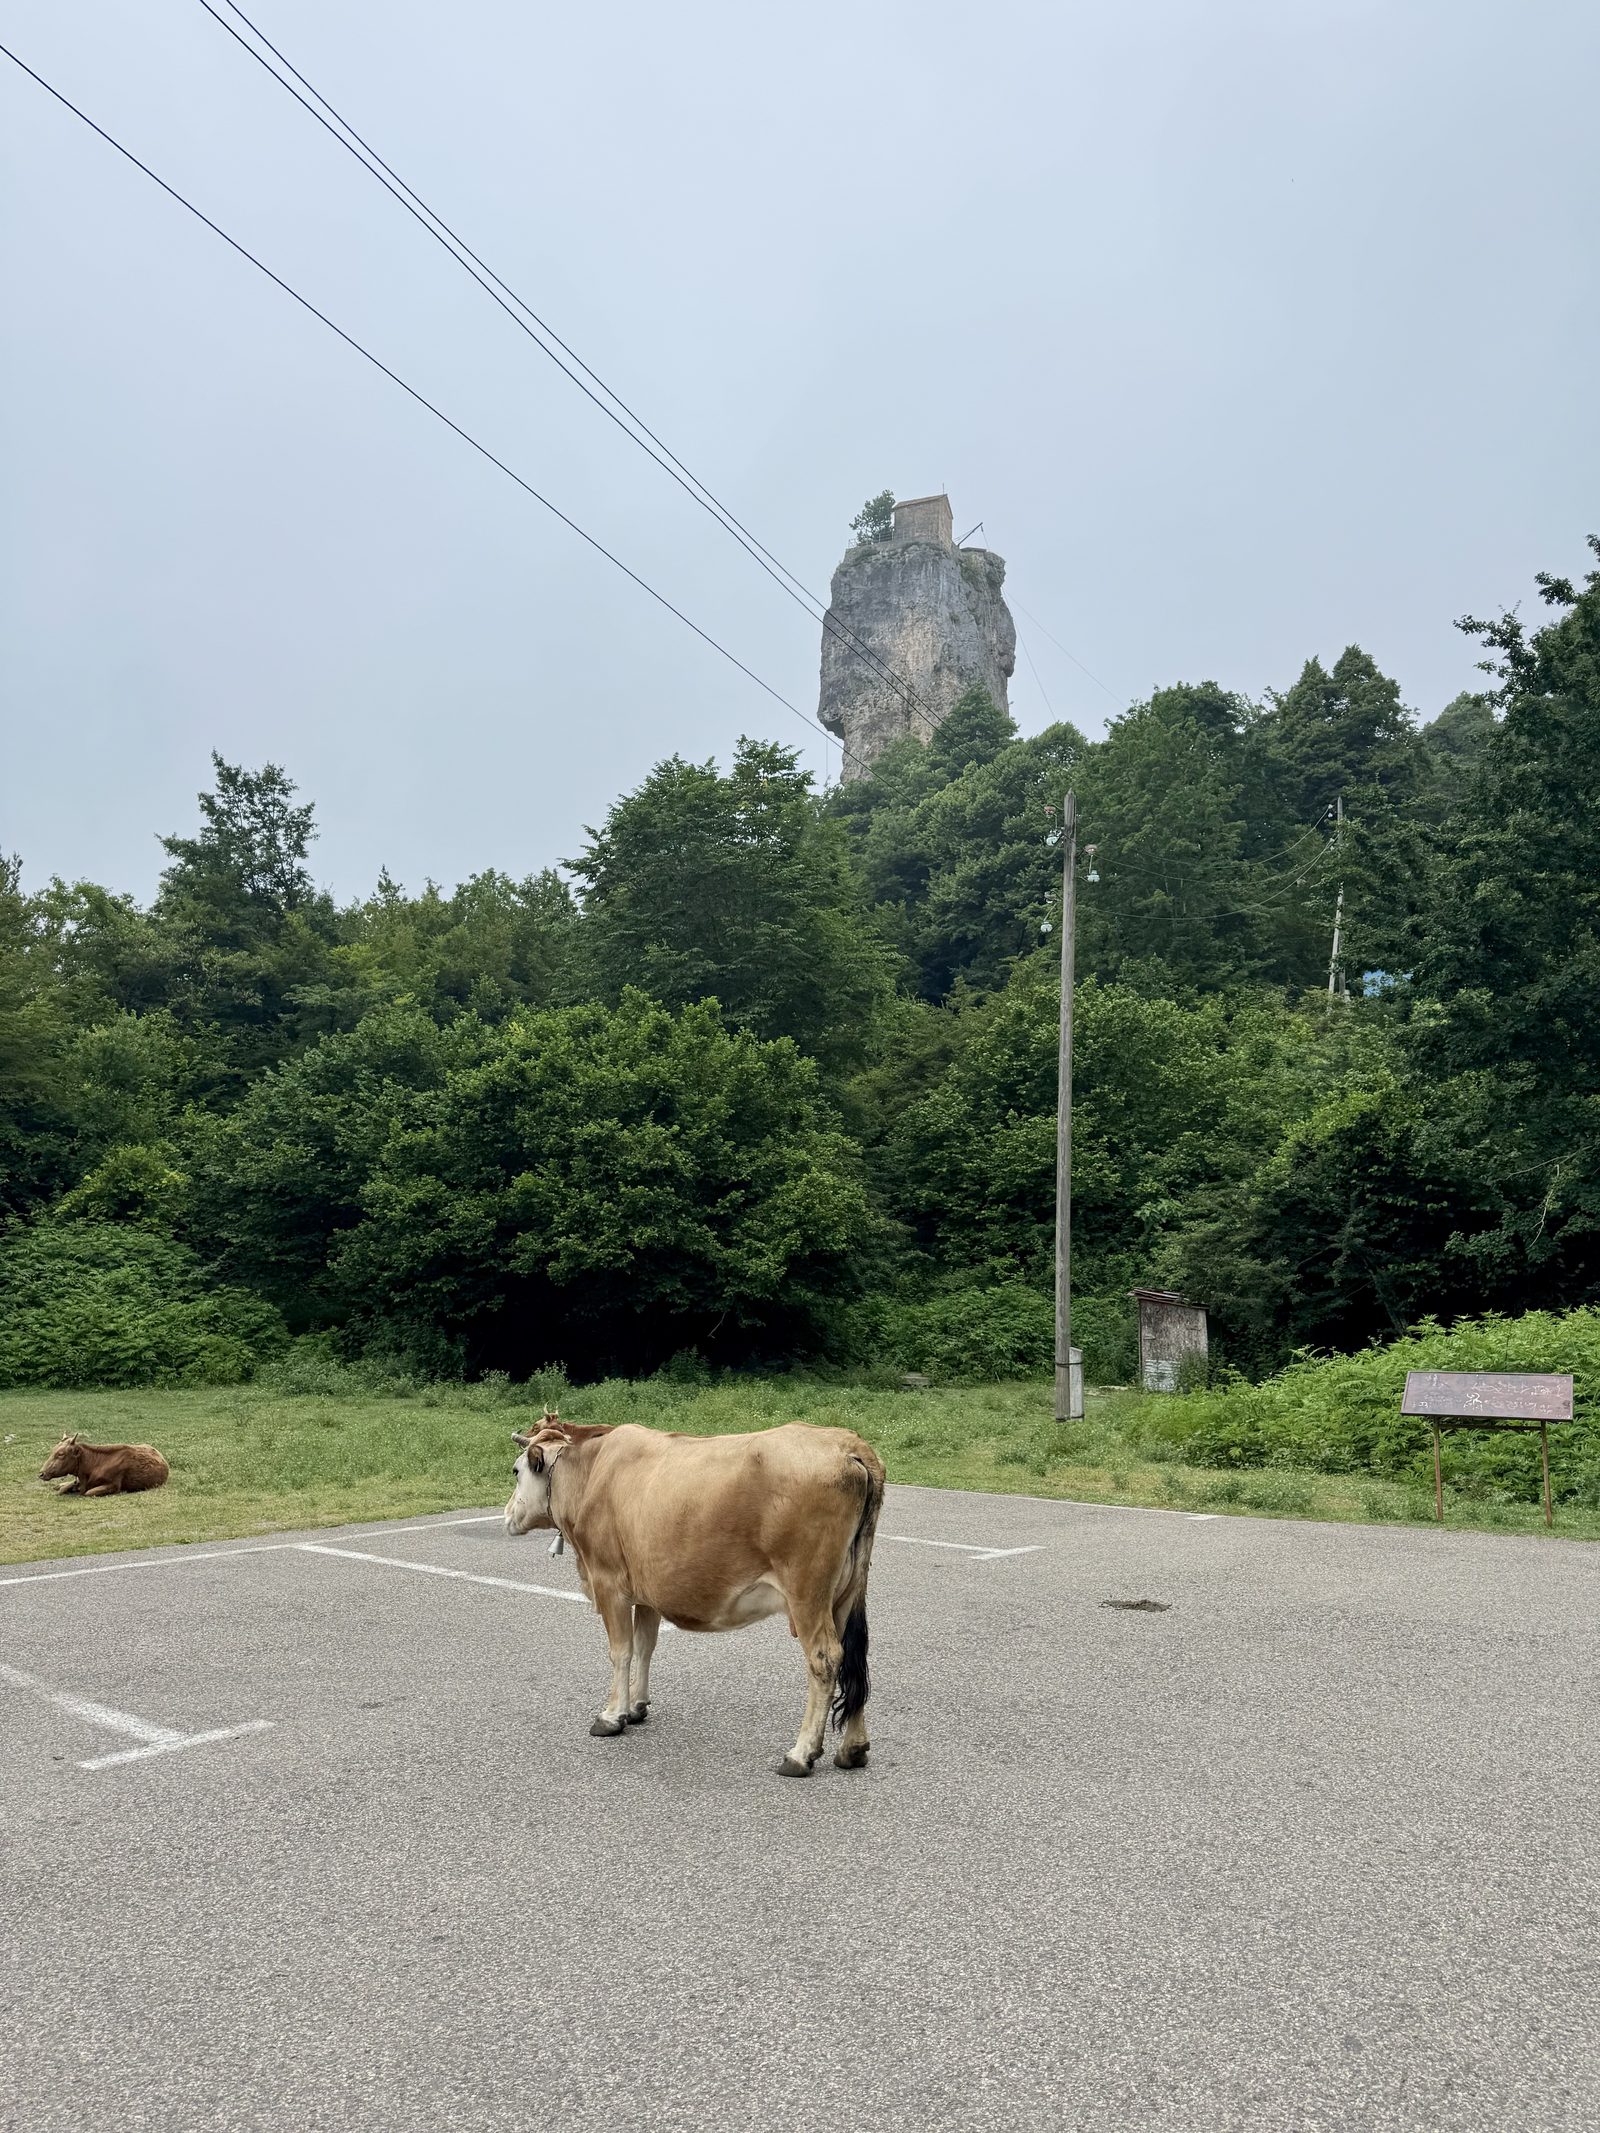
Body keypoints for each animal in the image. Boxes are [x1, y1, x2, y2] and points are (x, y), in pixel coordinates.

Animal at [38, 1434, 170, 1497]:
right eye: (53, 1450)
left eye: (61, 1454)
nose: (41, 1473)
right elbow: (63, 1489)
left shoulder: (113, 1485)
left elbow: (88, 1492)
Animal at [506, 1417, 885, 1777]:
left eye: (516, 1470)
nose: (508, 1516)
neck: (592, 1472)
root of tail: (848, 1444)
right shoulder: (646, 1590)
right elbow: (645, 1647)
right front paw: (637, 1706)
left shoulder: (608, 1582)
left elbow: (621, 1651)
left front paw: (612, 1715)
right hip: (845, 1592)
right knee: (852, 1656)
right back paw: (853, 1749)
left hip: (807, 1591)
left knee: (825, 1658)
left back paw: (801, 1753)